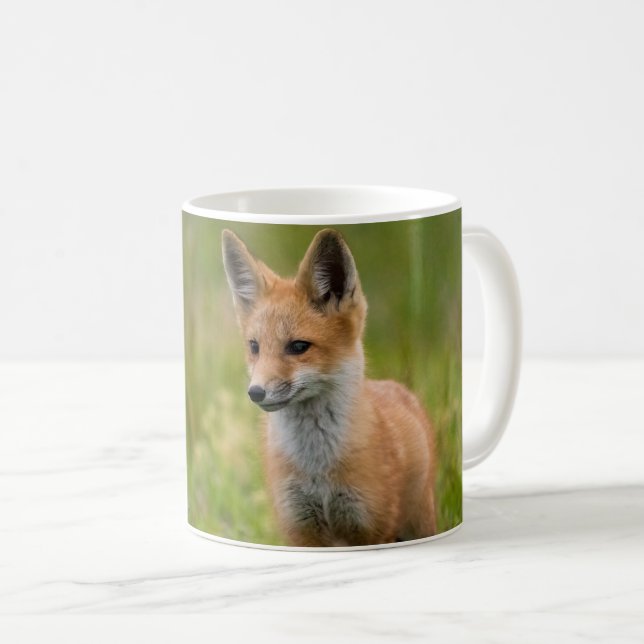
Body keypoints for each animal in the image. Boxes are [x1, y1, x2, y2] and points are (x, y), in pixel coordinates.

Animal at [221, 228, 437, 547]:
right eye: (254, 347)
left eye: (298, 347)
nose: (255, 392)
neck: (317, 469)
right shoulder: (299, 529)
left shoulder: (369, 526)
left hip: (419, 523)